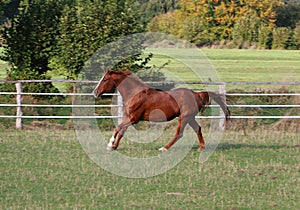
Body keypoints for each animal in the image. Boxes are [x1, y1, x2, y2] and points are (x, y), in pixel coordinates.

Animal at [92, 69, 230, 152]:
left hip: (184, 117)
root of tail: (196, 94)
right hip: (189, 117)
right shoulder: (127, 117)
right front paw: (114, 146)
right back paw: (201, 148)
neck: (134, 94)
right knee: (198, 129)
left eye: (105, 79)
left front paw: (110, 144)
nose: (95, 93)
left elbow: (117, 128)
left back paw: (164, 148)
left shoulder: (134, 119)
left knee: (179, 133)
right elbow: (121, 131)